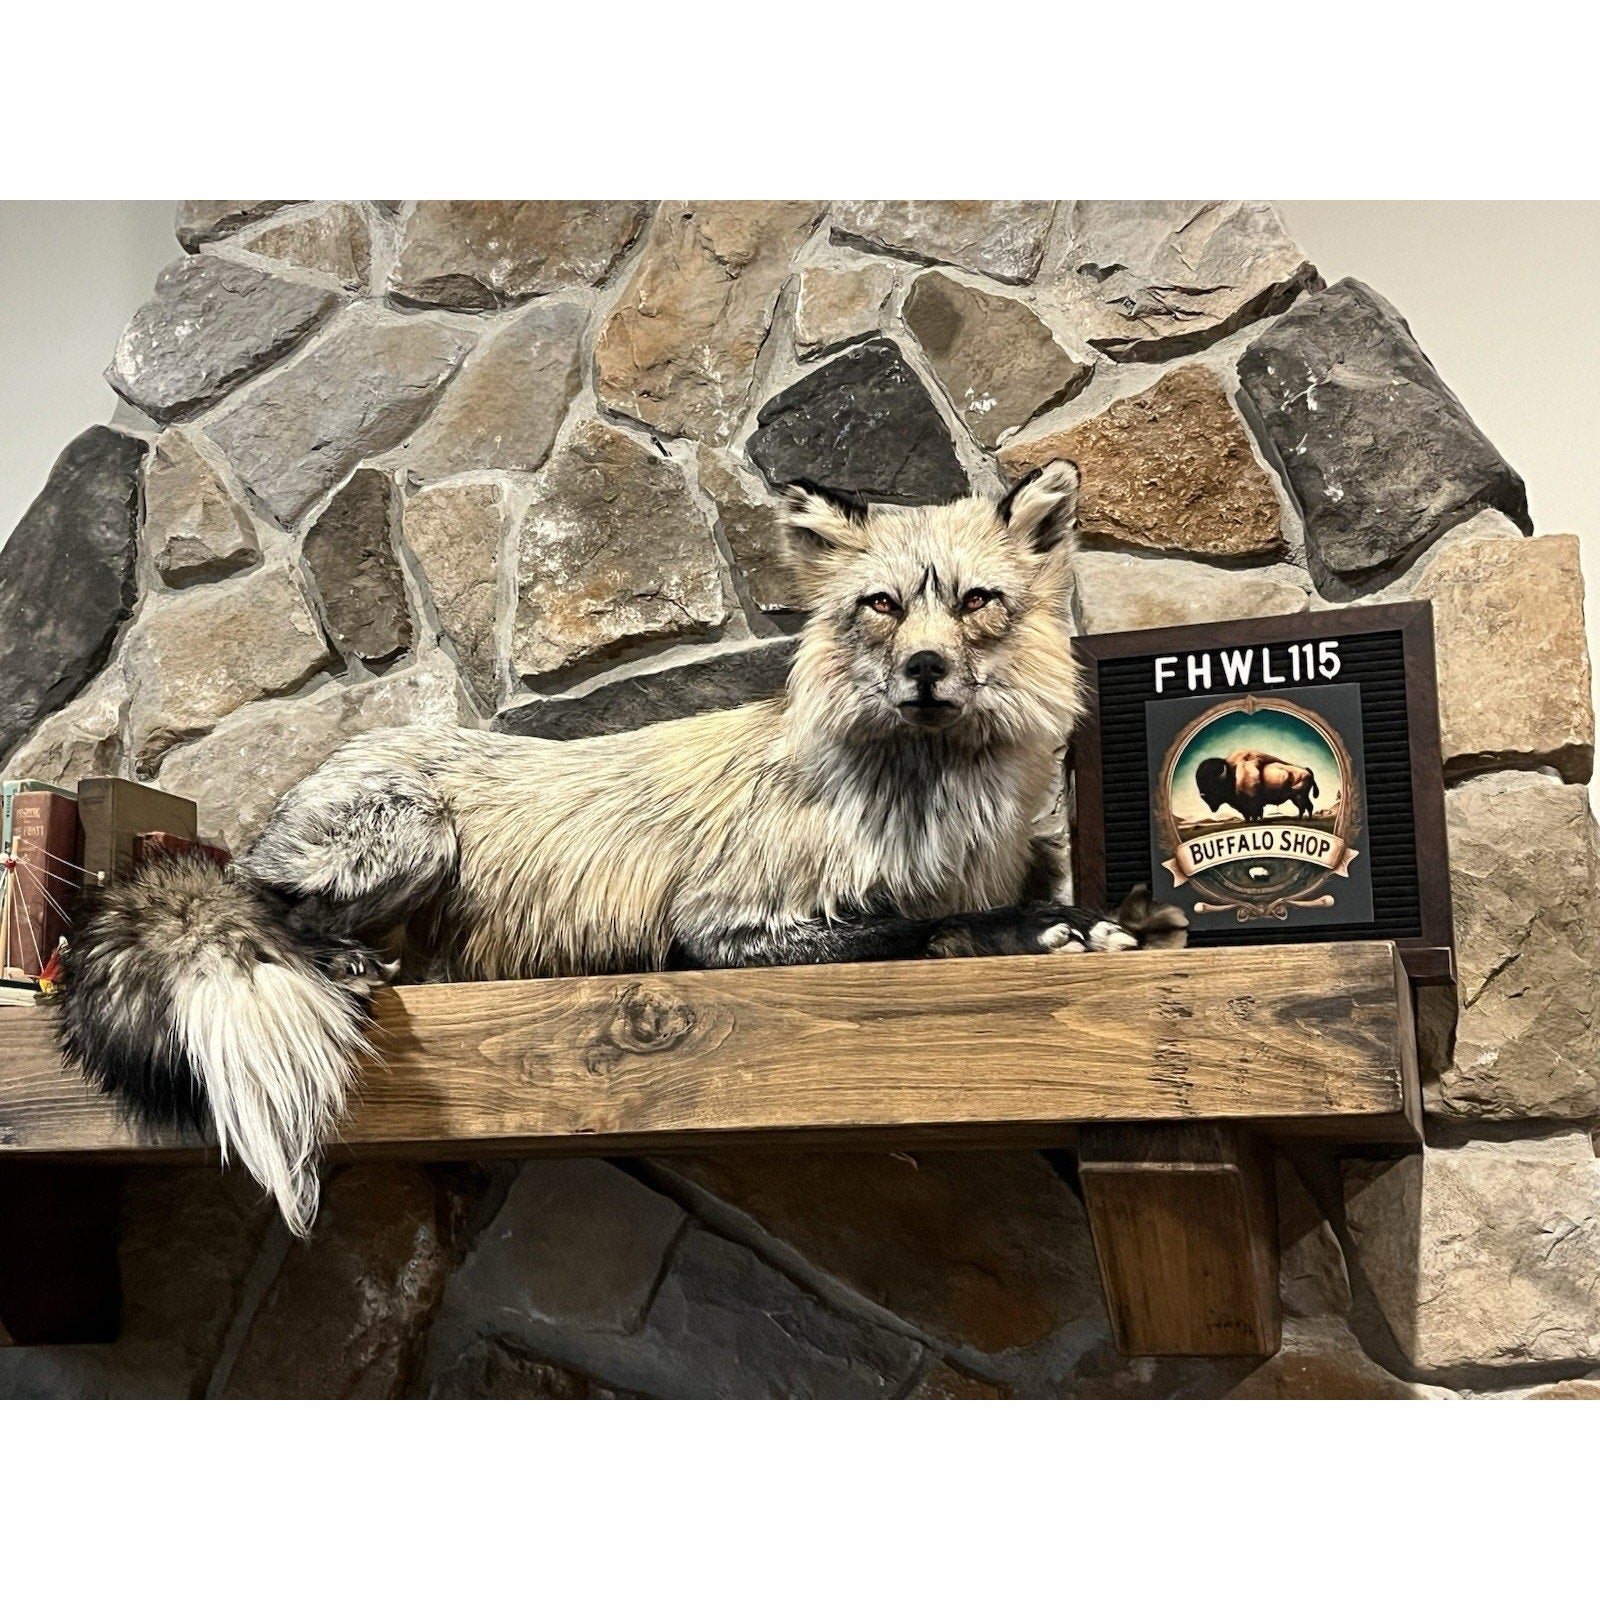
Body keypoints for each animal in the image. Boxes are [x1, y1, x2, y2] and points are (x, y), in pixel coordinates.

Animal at [57, 458, 1185, 1234]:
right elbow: (916, 930)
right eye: (883, 605)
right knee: (257, 901)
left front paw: (1117, 916)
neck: (934, 812)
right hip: (410, 835)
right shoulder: (719, 928)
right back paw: (329, 955)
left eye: (976, 602)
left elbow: (982, 902)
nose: (922, 669)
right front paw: (1040, 930)